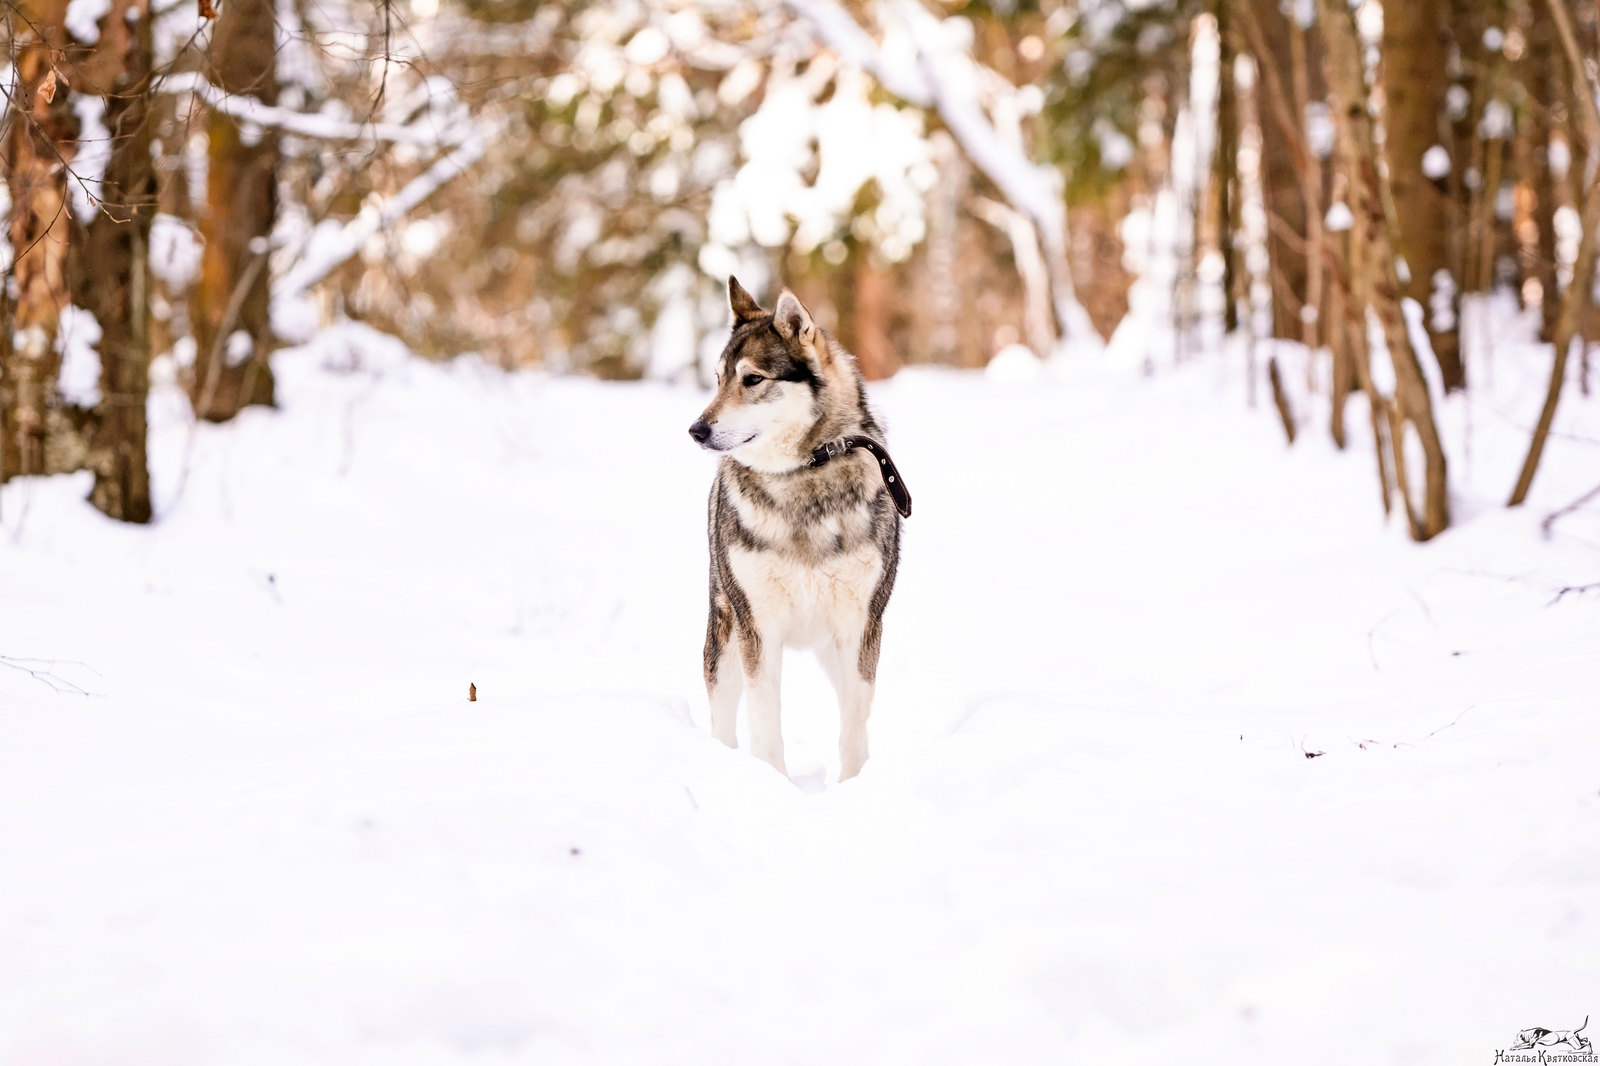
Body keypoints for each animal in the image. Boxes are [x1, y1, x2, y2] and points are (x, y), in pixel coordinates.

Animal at [691, 278, 908, 777]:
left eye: (752, 379)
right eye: (717, 379)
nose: (696, 429)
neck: (802, 475)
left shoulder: (859, 626)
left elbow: (854, 725)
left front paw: (853, 784)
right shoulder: (757, 628)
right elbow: (765, 726)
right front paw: (772, 783)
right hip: (724, 637)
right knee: (723, 719)